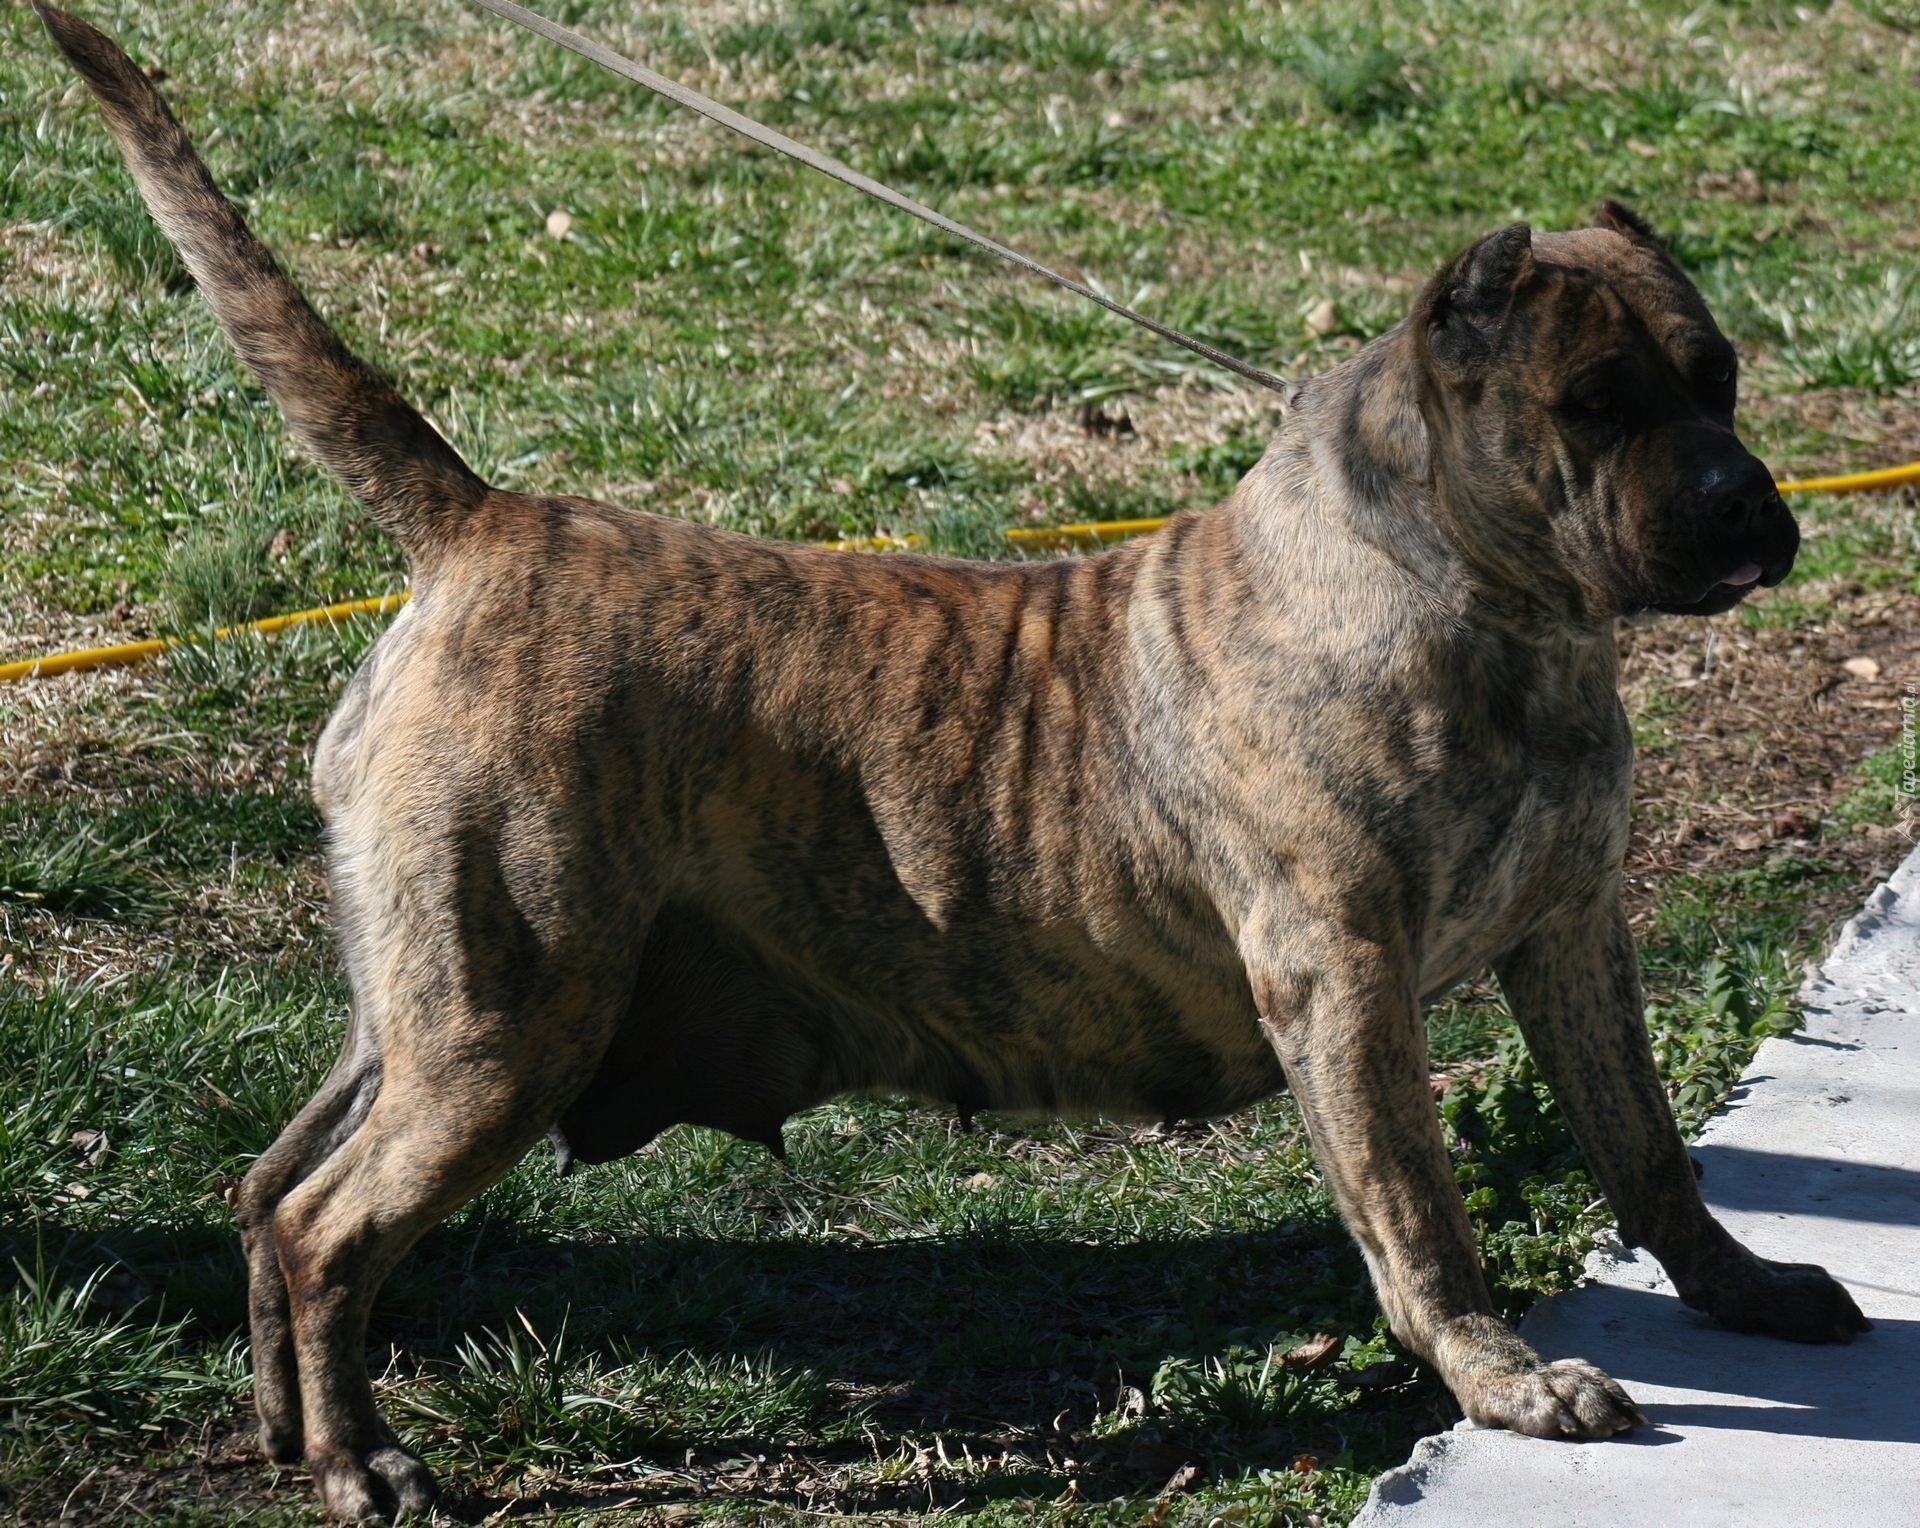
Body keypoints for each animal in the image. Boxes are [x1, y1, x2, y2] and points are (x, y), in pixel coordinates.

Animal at [41, 5, 1873, 1520]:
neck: (1493, 605)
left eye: (1719, 377)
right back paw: (361, 1462)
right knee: (324, 1221)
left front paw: (1742, 1289)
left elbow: (1647, 1142)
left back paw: (293, 1426)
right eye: (1597, 399)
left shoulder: (1573, 929)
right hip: (508, 1017)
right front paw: (1507, 1374)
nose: (1746, 508)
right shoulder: (1346, 976)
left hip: (430, 1001)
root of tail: (484, 527)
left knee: (271, 1187)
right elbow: (1419, 1205)